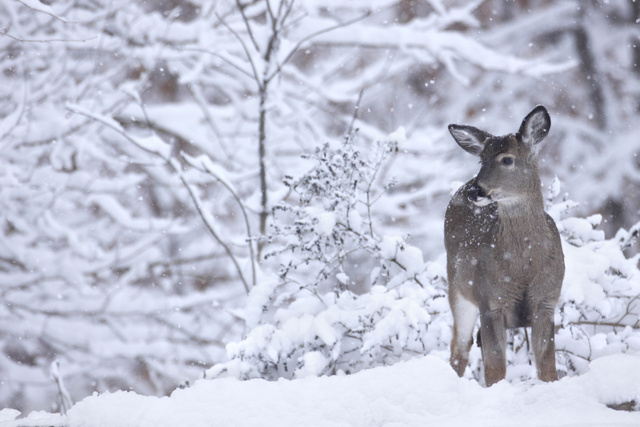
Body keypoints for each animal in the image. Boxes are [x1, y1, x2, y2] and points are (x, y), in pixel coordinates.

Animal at [444, 105, 564, 387]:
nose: (476, 191)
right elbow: (496, 367)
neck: (524, 267)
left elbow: (547, 366)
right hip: (457, 287)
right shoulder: (490, 299)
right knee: (459, 348)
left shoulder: (547, 300)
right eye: (481, 160)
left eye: (507, 159)